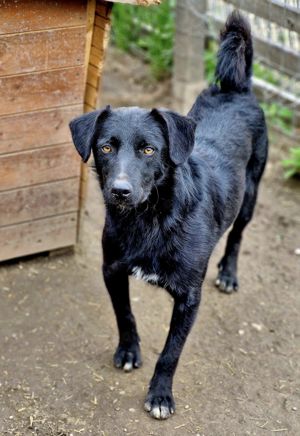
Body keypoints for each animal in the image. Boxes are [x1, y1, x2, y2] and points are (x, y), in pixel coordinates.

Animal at [69, 11, 268, 418]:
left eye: (148, 150)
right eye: (106, 147)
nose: (120, 190)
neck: (150, 219)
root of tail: (236, 88)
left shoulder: (189, 297)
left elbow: (171, 352)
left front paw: (160, 395)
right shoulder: (112, 270)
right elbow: (125, 315)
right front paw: (129, 351)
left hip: (250, 196)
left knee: (237, 235)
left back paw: (228, 273)